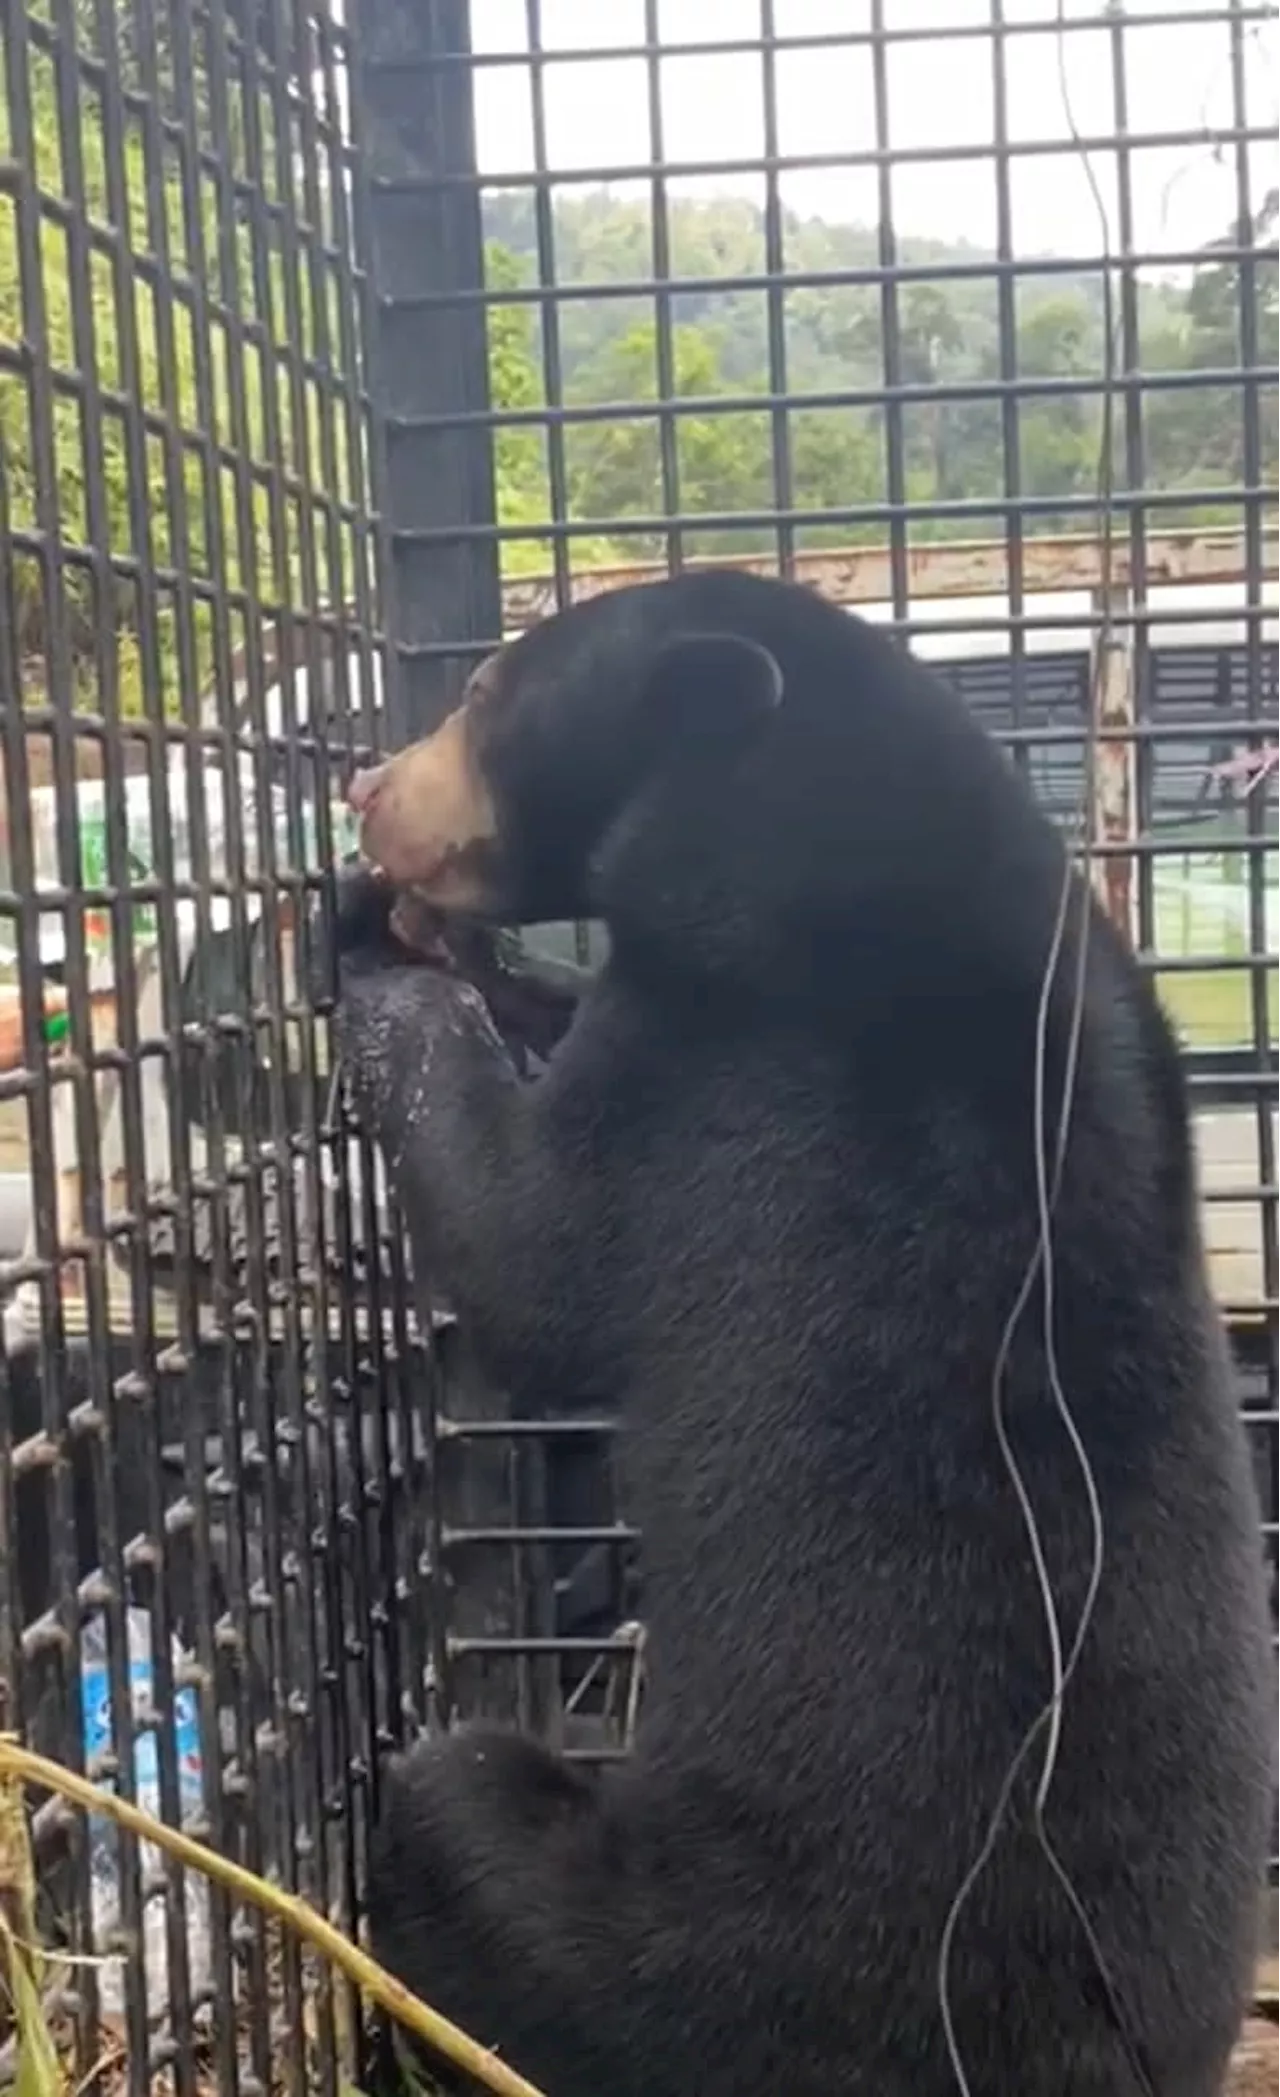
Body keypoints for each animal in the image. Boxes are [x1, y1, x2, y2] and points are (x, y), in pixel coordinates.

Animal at [329, 574, 1267, 2097]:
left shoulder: (731, 1063)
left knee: (460, 1812)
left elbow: (536, 1247)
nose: (364, 788)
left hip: (687, 1960)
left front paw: (371, 945)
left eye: (476, 699)